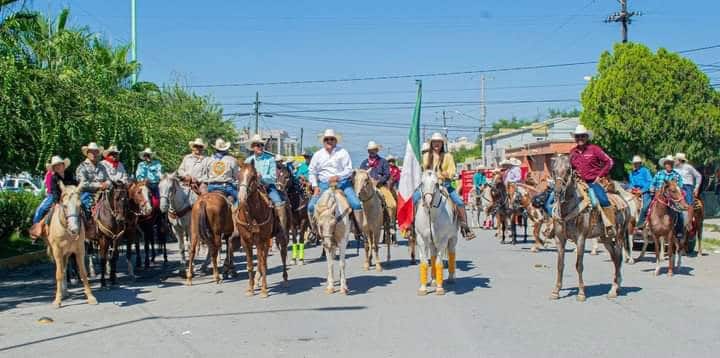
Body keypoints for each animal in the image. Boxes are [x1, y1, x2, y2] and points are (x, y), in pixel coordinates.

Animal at [238, 162, 292, 296]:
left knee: (283, 254)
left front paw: (263, 291)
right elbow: (250, 265)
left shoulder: (260, 240)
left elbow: (262, 264)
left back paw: (285, 279)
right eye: (238, 176)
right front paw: (251, 289)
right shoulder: (245, 241)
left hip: (281, 235)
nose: (241, 197)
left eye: (253, 176)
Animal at [548, 155, 628, 300]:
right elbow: (560, 265)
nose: (558, 191)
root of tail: (623, 201)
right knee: (615, 259)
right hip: (606, 239)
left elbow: (579, 265)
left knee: (619, 258)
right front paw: (556, 291)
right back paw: (617, 285)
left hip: (619, 236)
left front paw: (581, 293)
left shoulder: (581, 238)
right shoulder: (559, 239)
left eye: (568, 170)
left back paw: (613, 290)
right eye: (554, 170)